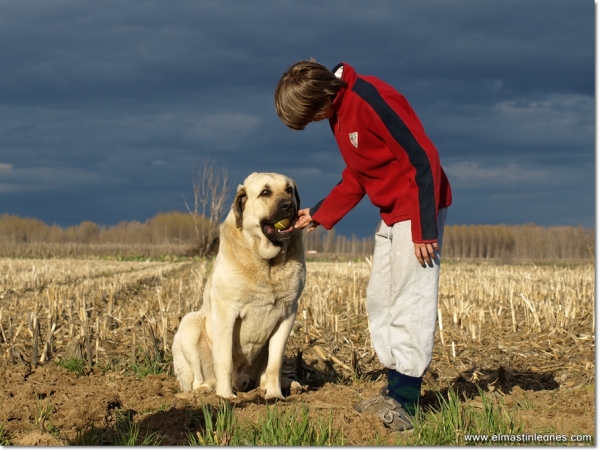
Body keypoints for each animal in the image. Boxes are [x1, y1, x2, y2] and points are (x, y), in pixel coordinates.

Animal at [172, 172, 304, 400]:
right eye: (265, 192)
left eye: (289, 190)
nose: (288, 205)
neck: (267, 264)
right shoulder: (226, 312)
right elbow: (224, 360)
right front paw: (225, 397)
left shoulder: (288, 314)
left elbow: (275, 363)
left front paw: (275, 395)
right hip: (190, 325)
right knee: (199, 378)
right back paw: (205, 391)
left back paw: (286, 384)